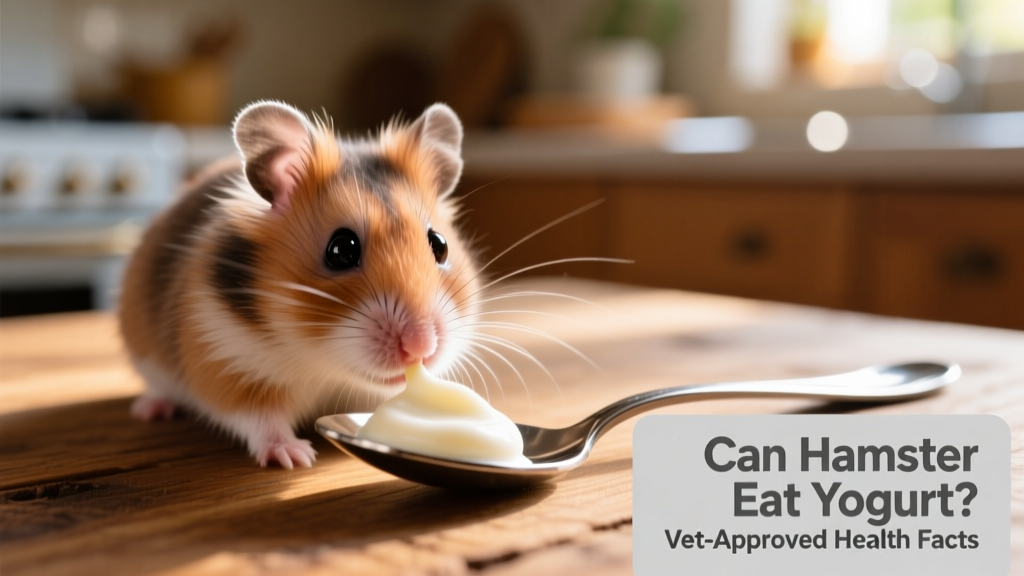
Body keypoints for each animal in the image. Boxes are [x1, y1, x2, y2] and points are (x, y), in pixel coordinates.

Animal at [118, 101, 481, 468]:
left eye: (440, 245)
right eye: (341, 250)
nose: (422, 347)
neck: (320, 361)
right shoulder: (221, 358)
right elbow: (259, 417)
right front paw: (295, 457)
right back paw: (152, 410)